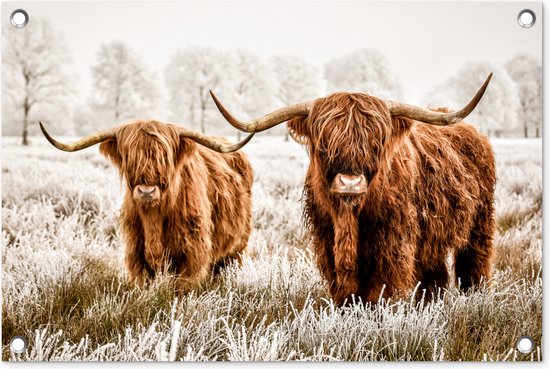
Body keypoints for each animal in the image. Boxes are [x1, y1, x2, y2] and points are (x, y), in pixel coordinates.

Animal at [40, 121, 256, 290]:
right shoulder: (136, 254)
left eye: (164, 158)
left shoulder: (193, 255)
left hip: (237, 247)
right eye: (130, 158)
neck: (154, 219)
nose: (146, 192)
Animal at [209, 73, 498, 304]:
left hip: (480, 224)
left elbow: (379, 292)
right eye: (325, 143)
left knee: (473, 266)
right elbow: (345, 292)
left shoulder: (393, 246)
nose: (350, 182)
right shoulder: (327, 242)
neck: (349, 218)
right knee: (435, 276)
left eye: (376, 142)